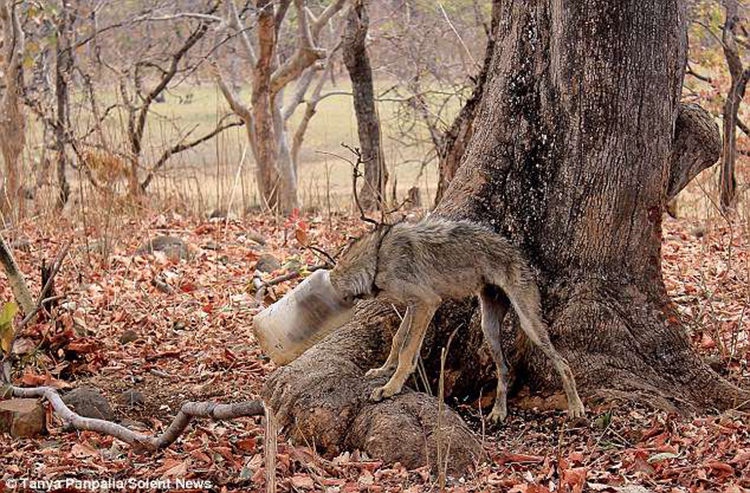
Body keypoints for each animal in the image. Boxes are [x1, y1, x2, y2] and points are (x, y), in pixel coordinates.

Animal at [330, 218, 588, 422]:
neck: (378, 256)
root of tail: (519, 253)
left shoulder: (426, 302)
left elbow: (406, 351)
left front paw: (390, 388)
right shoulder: (414, 306)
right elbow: (398, 339)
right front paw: (384, 370)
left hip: (529, 325)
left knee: (563, 363)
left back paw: (576, 407)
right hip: (488, 328)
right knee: (504, 369)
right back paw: (498, 412)